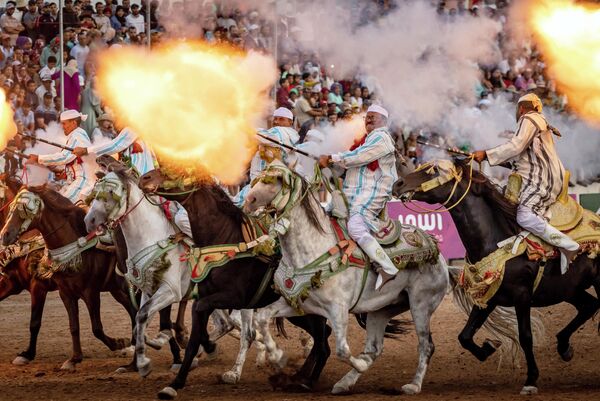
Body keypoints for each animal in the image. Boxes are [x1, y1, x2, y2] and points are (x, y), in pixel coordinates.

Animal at [0, 186, 135, 370]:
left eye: (24, 209)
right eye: (11, 208)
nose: (5, 234)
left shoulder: (88, 292)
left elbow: (96, 328)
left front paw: (119, 343)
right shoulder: (66, 293)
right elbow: (73, 326)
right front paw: (74, 358)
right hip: (116, 289)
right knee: (132, 309)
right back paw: (134, 343)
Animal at [137, 167, 332, 398]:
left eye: (175, 168)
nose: (144, 178)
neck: (225, 240)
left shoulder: (234, 298)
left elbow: (201, 313)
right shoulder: (208, 297)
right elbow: (194, 341)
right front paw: (175, 383)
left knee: (323, 342)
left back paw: (306, 381)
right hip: (300, 314)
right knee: (323, 337)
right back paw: (300, 376)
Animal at [241, 162, 448, 394]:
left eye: (275, 180)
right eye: (257, 179)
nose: (249, 201)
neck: (313, 249)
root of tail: (438, 254)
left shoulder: (337, 309)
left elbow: (342, 349)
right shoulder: (298, 304)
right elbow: (261, 318)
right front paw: (278, 356)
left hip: (421, 305)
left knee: (426, 346)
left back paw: (413, 385)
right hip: (382, 309)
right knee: (374, 348)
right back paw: (345, 382)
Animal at [394, 157, 600, 394]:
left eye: (433, 169)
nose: (398, 184)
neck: (496, 239)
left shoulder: (522, 297)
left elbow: (525, 336)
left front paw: (531, 380)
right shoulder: (488, 297)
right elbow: (465, 336)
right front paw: (488, 348)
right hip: (569, 290)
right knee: (589, 305)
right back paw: (564, 348)